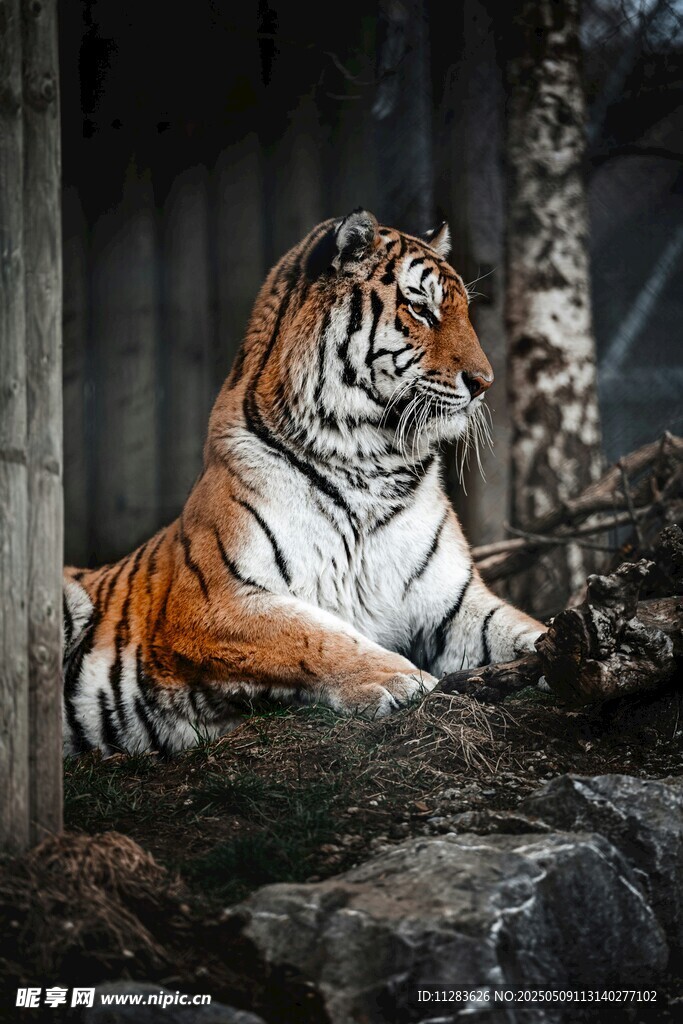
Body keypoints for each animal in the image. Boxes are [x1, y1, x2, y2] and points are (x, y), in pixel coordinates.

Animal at [62, 209, 544, 757]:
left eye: (463, 310)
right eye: (420, 308)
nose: (484, 383)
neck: (373, 462)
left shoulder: (453, 604)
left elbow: (521, 627)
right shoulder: (211, 601)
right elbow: (315, 636)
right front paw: (399, 679)